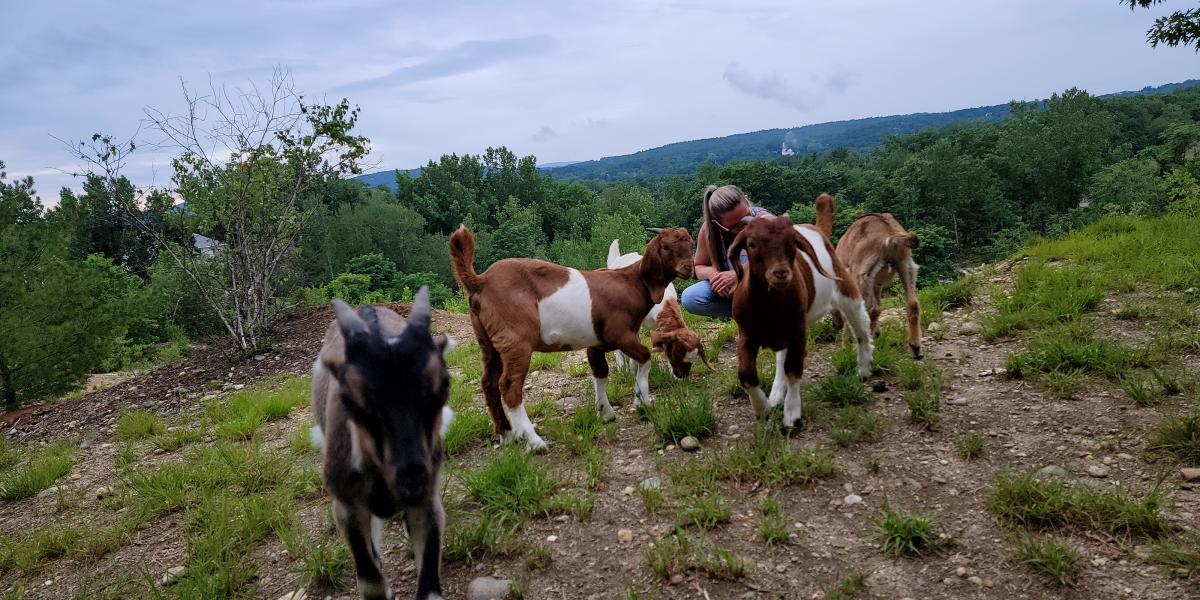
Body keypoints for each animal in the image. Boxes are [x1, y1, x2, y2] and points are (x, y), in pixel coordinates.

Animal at [309, 288, 453, 597]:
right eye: (348, 399)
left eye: (444, 385)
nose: (411, 482)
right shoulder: (346, 507)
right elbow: (371, 582)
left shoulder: (429, 502)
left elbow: (429, 588)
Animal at [448, 225, 696, 451]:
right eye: (665, 247)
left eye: (690, 244)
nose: (688, 268)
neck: (632, 282)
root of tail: (480, 281)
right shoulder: (622, 334)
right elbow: (644, 357)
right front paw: (642, 400)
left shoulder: (596, 343)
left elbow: (600, 372)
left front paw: (606, 413)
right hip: (515, 340)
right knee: (509, 385)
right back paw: (535, 442)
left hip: (488, 342)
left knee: (488, 383)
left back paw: (507, 435)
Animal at [729, 199, 873, 429]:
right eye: (751, 243)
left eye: (793, 242)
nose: (780, 273)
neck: (769, 305)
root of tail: (816, 228)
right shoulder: (747, 334)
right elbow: (746, 374)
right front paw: (763, 409)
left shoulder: (798, 332)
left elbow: (794, 368)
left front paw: (792, 414)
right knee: (780, 357)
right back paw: (776, 395)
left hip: (845, 287)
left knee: (860, 325)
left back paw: (864, 368)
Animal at [830, 206, 921, 355]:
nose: (835, 325)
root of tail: (892, 236)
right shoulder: (877, 283)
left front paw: (845, 345)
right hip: (905, 265)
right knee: (912, 304)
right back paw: (915, 348)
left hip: (862, 273)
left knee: (872, 309)